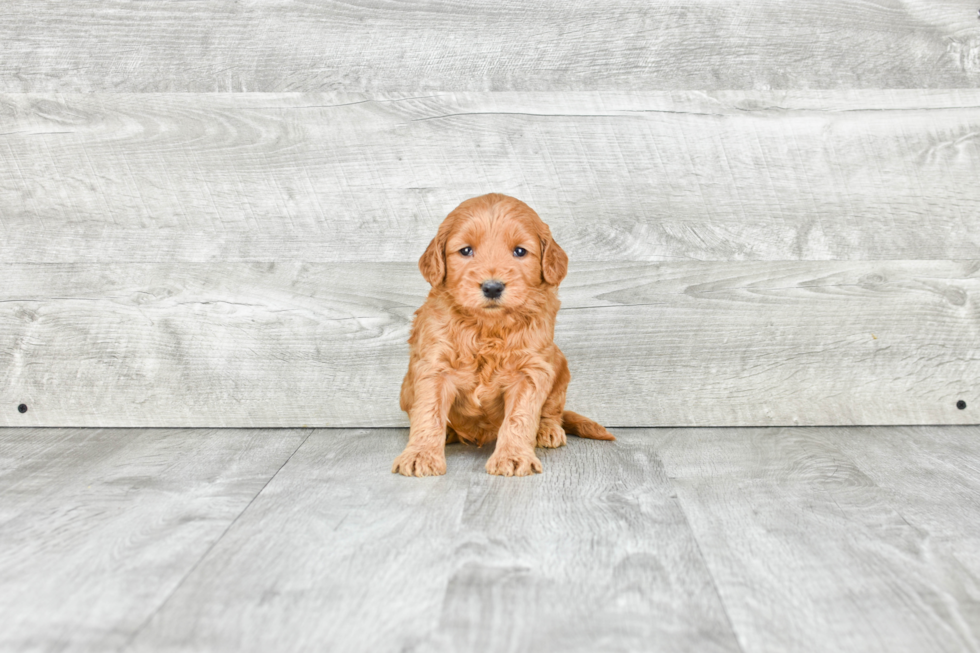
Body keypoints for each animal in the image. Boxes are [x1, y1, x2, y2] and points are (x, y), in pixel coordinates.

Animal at [390, 191, 612, 476]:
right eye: (466, 250)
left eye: (520, 251)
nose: (492, 287)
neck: (488, 328)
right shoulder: (435, 366)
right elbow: (429, 413)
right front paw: (421, 454)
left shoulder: (530, 371)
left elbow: (520, 417)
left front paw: (513, 456)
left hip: (559, 365)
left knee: (553, 410)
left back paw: (548, 430)